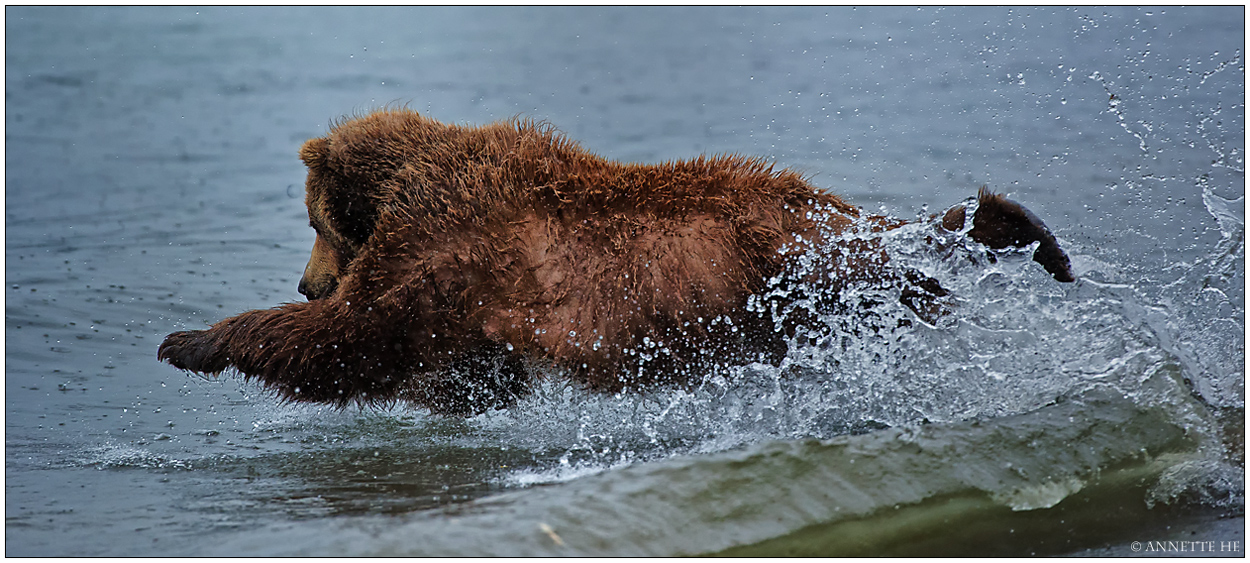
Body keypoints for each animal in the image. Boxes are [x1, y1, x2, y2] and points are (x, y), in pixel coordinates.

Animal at [156, 107, 1075, 415]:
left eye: (313, 221)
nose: (305, 280)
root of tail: (827, 209)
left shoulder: (439, 246)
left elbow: (352, 340)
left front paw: (193, 340)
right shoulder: (469, 298)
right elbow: (463, 374)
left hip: (796, 263)